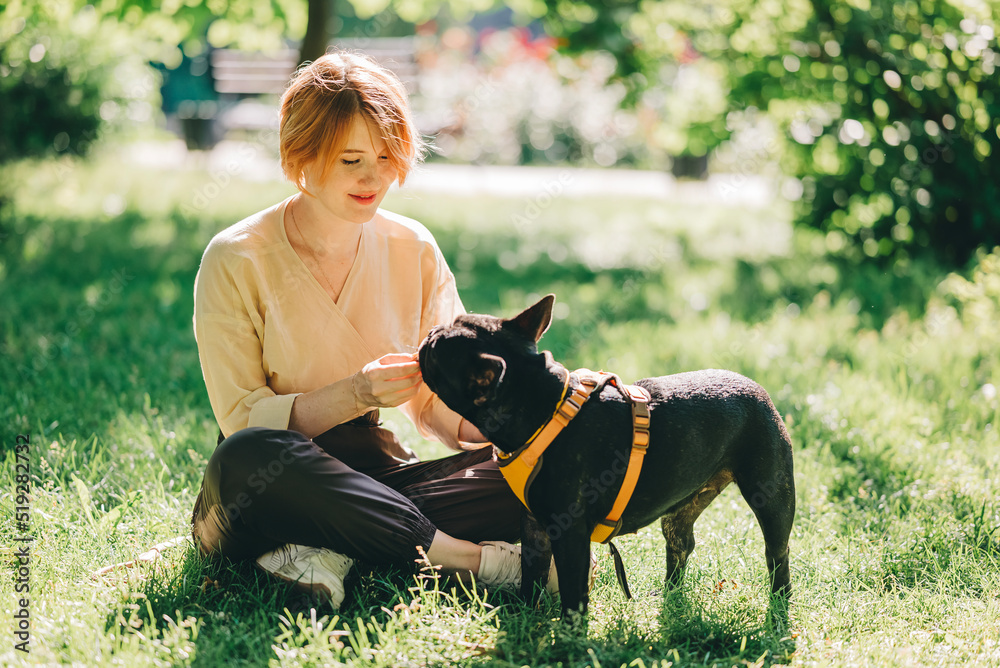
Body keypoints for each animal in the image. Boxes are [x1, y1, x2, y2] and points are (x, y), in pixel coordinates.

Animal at [418, 294, 792, 620]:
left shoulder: (568, 533)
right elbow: (531, 571)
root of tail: (756, 388)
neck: (544, 408)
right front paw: (524, 613)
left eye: (437, 351)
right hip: (681, 507)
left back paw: (778, 603)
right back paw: (669, 594)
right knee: (680, 543)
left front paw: (569, 634)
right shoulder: (534, 525)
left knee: (776, 552)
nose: (429, 331)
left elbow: (572, 590)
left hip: (772, 496)